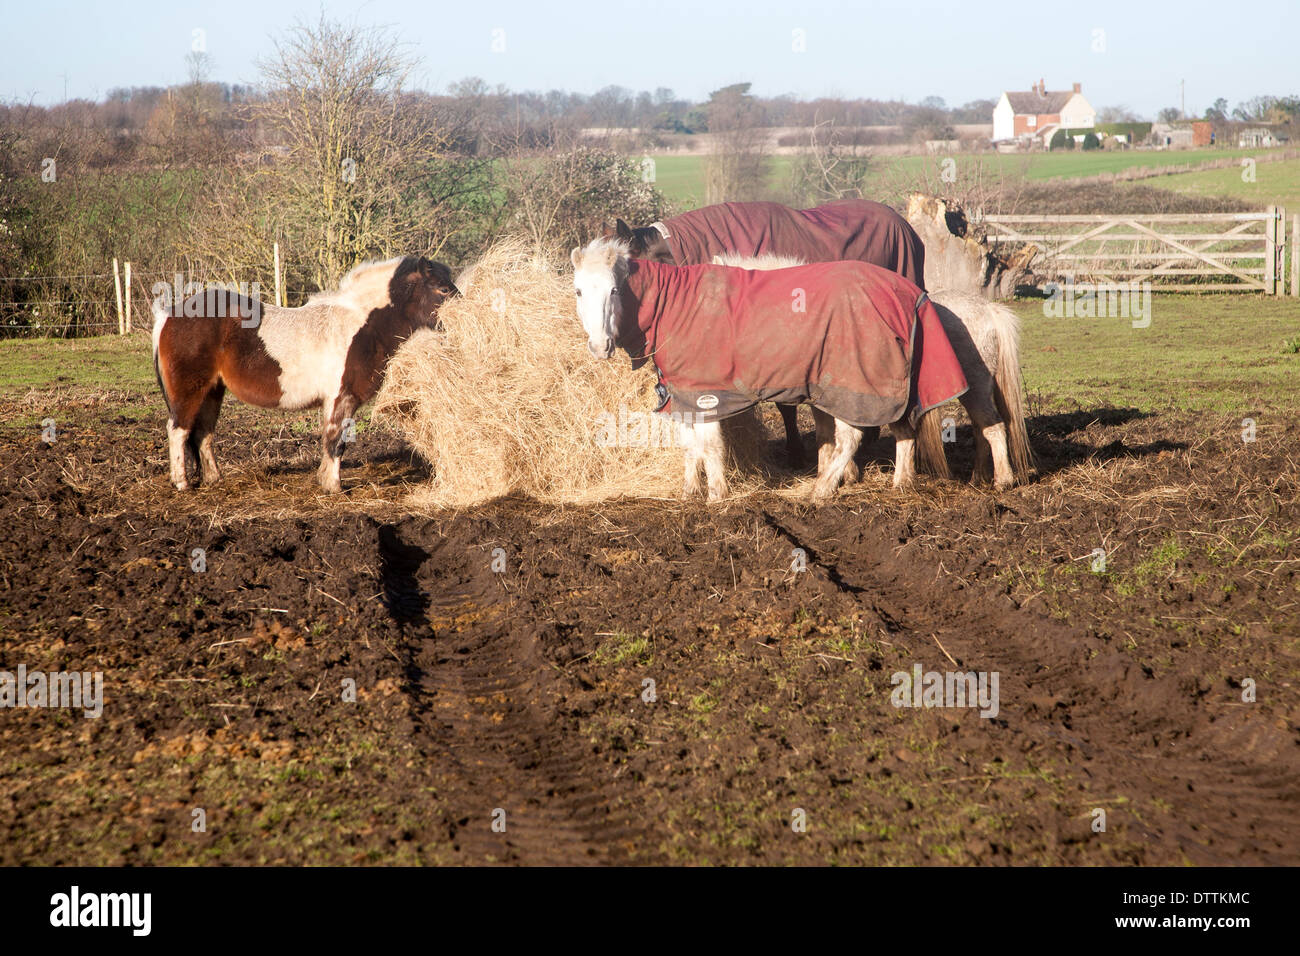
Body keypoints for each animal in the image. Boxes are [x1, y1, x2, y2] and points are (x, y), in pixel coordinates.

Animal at [152, 254, 460, 494]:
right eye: (443, 289)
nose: (463, 315)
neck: (359, 326)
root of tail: (169, 316)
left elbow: (331, 441)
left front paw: (325, 480)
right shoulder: (342, 398)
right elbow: (337, 441)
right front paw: (334, 486)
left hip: (213, 391)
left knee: (203, 433)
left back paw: (215, 479)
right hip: (190, 391)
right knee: (178, 431)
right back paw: (181, 483)